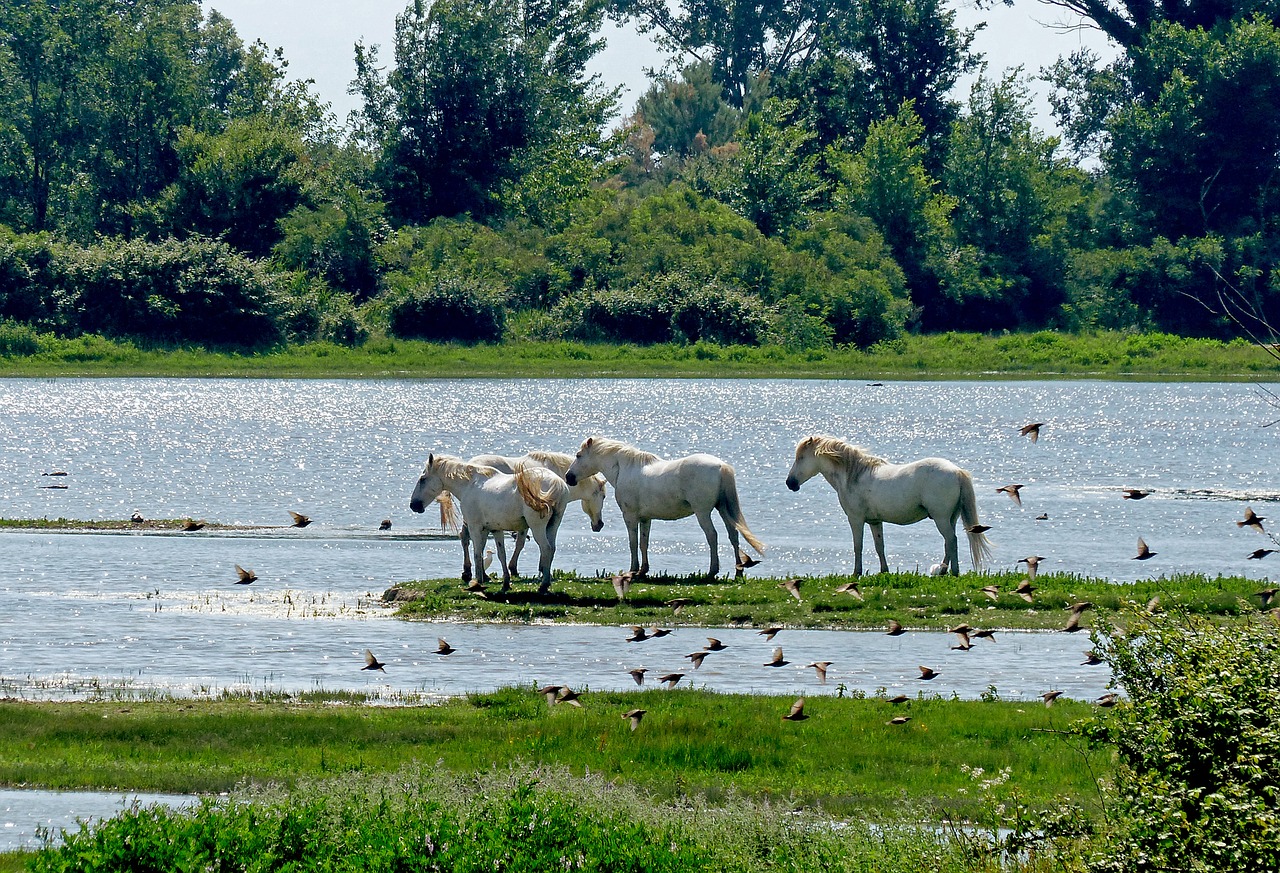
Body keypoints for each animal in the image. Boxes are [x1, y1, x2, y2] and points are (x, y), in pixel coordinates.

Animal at [409, 448, 570, 591]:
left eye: (422, 479)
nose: (413, 505)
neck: (469, 485)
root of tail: (557, 483)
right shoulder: (494, 529)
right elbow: (500, 554)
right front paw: (505, 583)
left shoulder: (475, 527)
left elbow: (477, 553)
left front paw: (478, 582)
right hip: (553, 525)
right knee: (552, 548)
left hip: (537, 527)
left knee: (546, 548)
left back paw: (543, 585)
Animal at [565, 435, 762, 578]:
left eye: (578, 456)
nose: (568, 477)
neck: (625, 469)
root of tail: (721, 466)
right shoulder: (645, 519)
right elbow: (643, 542)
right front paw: (643, 570)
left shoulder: (630, 516)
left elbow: (633, 542)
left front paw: (633, 569)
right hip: (723, 509)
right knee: (733, 535)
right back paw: (738, 570)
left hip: (703, 512)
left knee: (712, 536)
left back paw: (712, 571)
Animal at [783, 432, 993, 573]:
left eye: (801, 457)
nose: (790, 483)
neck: (853, 475)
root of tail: (956, 471)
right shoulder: (875, 522)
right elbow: (879, 547)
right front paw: (884, 571)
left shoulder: (856, 520)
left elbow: (857, 546)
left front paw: (856, 573)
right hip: (951, 518)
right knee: (948, 543)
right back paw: (942, 571)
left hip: (941, 518)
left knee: (952, 541)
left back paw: (953, 572)